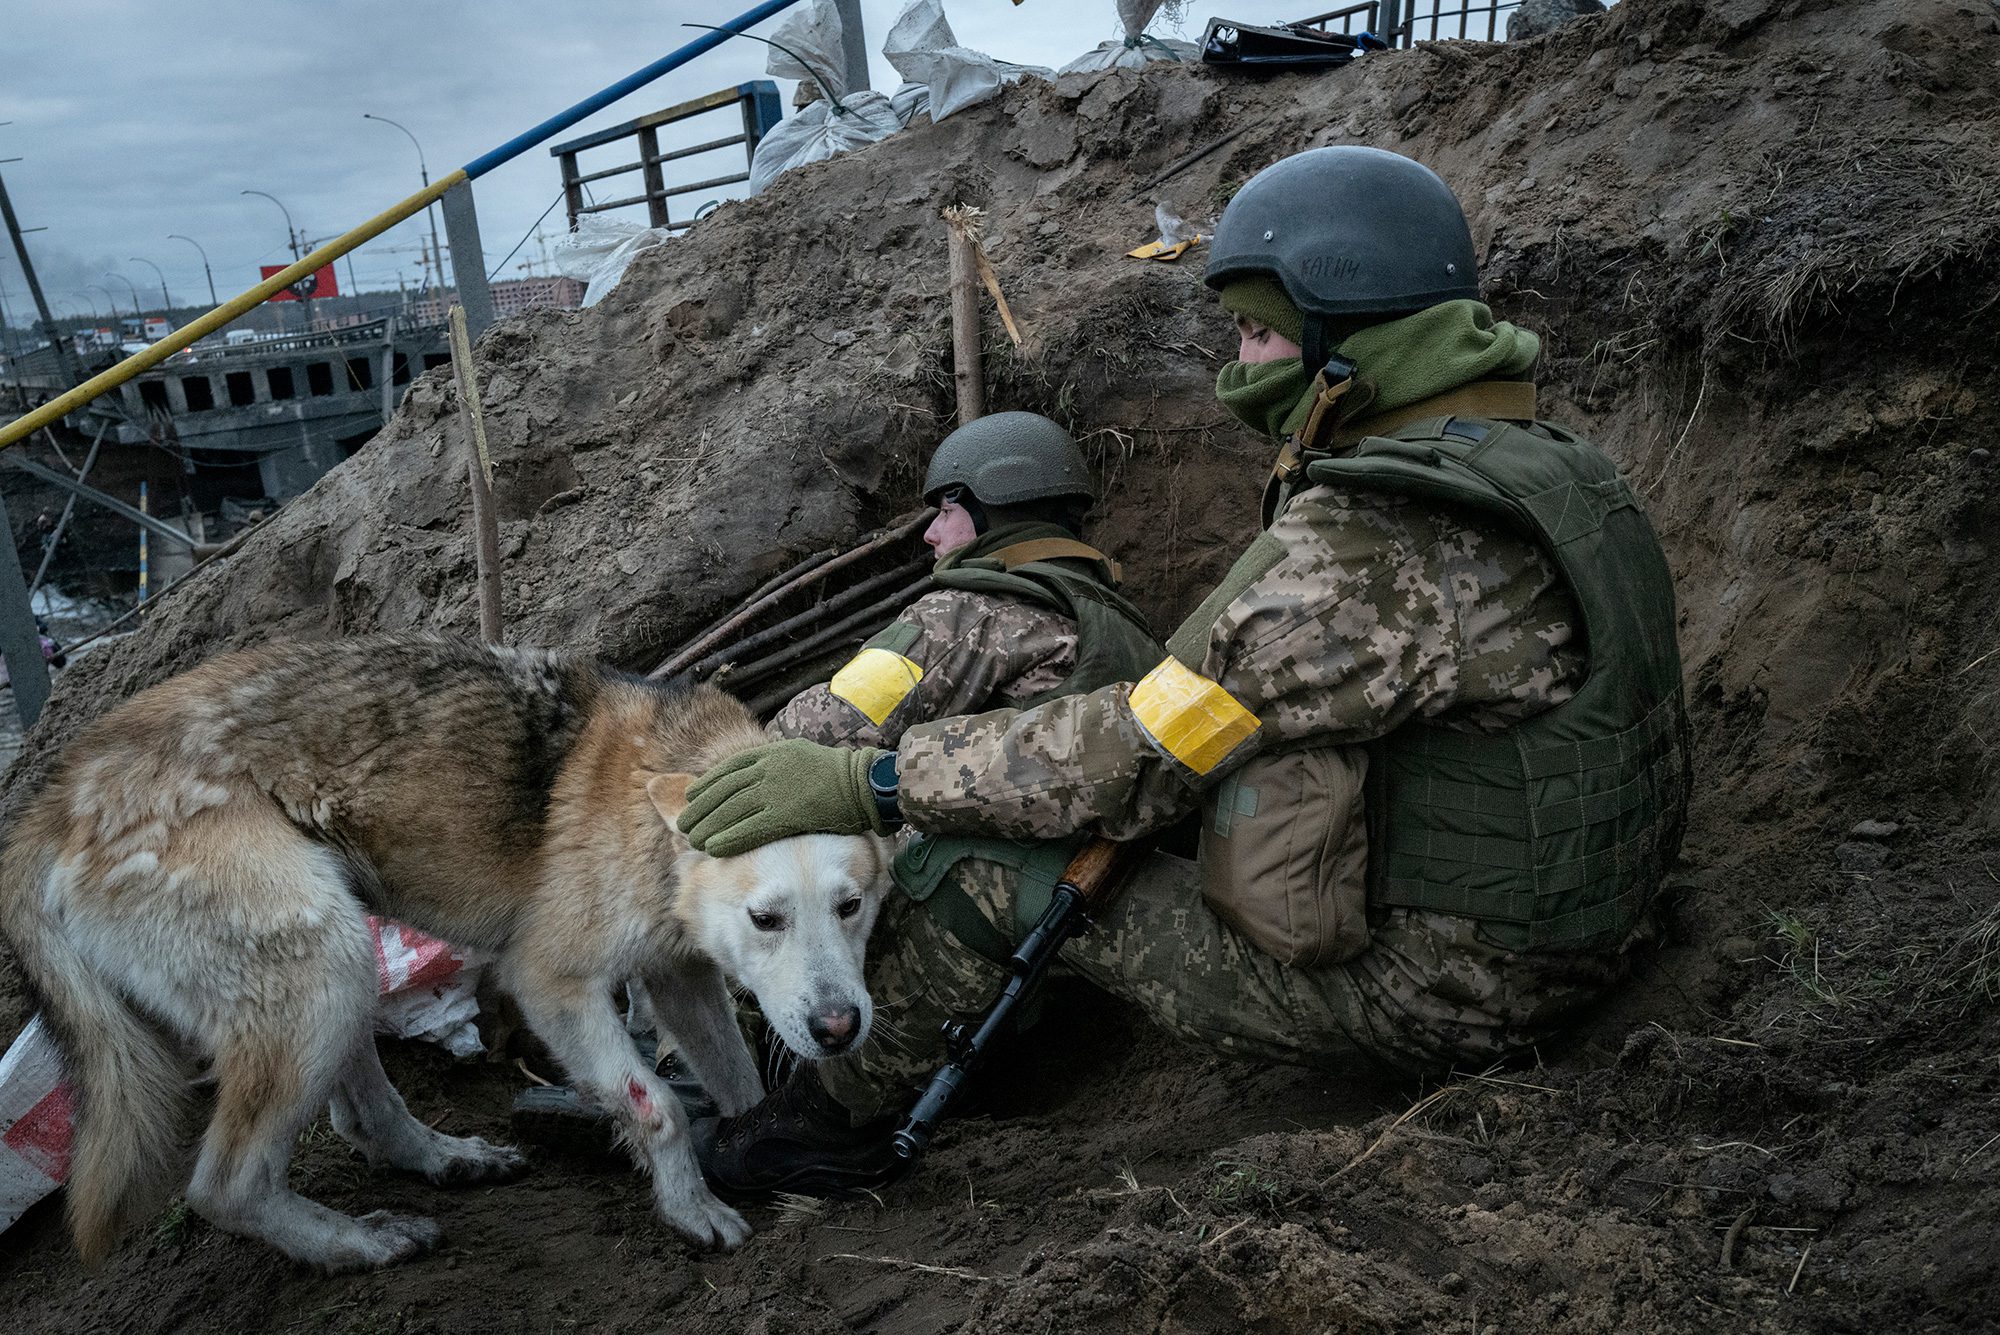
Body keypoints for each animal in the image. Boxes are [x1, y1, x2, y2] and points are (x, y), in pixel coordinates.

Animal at [0, 635, 892, 1271]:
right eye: (766, 918)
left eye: (852, 906)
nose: (841, 1027)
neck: (656, 803)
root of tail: (55, 798)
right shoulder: (552, 982)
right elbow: (659, 1106)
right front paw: (691, 1208)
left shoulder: (680, 976)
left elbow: (739, 1083)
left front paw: (763, 1147)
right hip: (322, 969)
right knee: (225, 1185)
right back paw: (354, 1244)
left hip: (335, 968)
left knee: (360, 1115)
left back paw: (446, 1159)